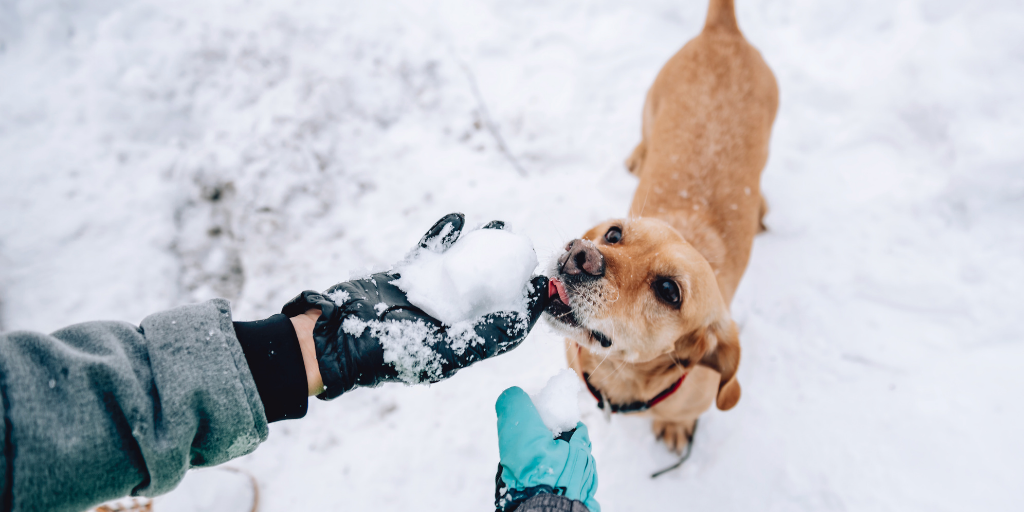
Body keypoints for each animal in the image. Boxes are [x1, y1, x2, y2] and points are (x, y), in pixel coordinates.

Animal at [544, 0, 774, 454]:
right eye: (614, 234)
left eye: (669, 291)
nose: (580, 255)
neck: (621, 380)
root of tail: (725, 30)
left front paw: (674, 427)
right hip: (651, 105)